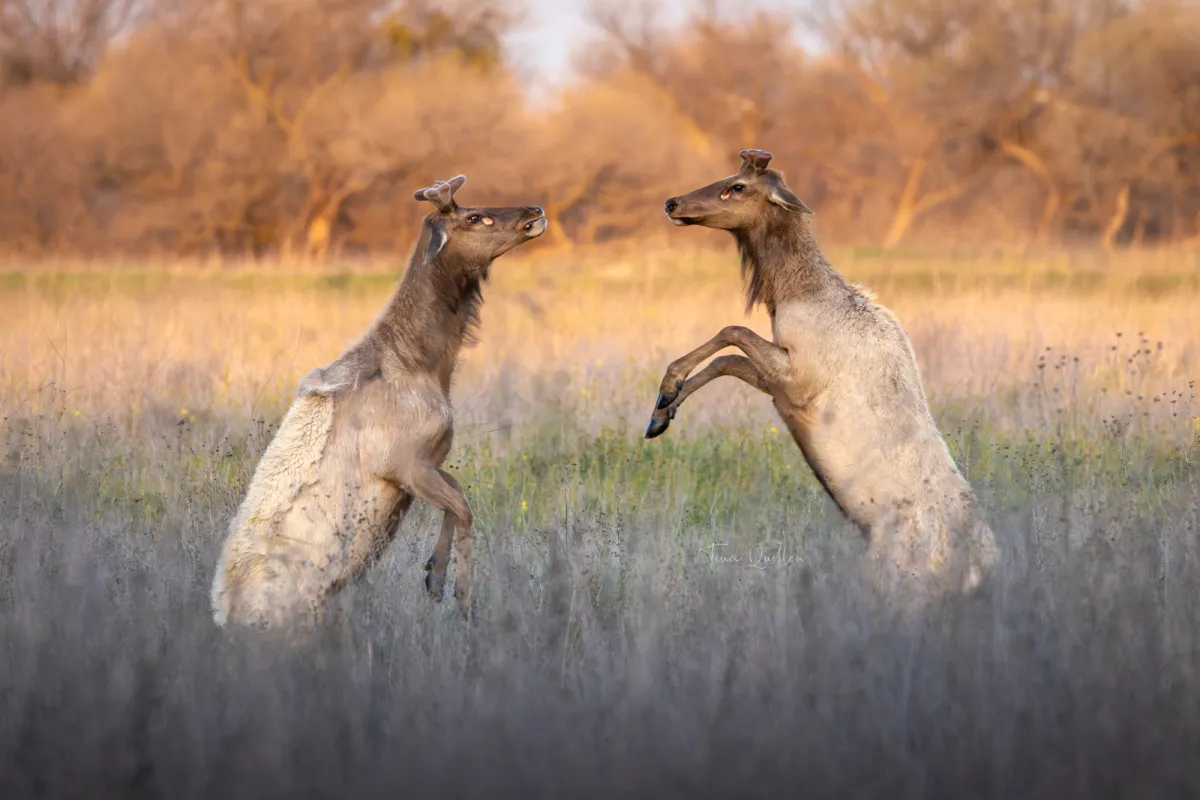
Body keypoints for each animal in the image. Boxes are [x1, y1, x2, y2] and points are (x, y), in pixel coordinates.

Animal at [210, 175, 547, 630]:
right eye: (475, 216)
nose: (535, 211)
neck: (428, 368)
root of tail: (226, 619)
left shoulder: (428, 460)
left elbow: (459, 492)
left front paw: (433, 574)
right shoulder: (400, 461)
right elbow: (464, 507)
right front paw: (460, 597)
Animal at [645, 149, 998, 610]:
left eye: (737, 186)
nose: (672, 203)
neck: (792, 297)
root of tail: (980, 574)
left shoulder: (801, 379)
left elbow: (732, 333)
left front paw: (666, 393)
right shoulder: (780, 384)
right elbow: (729, 359)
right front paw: (661, 412)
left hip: (900, 580)